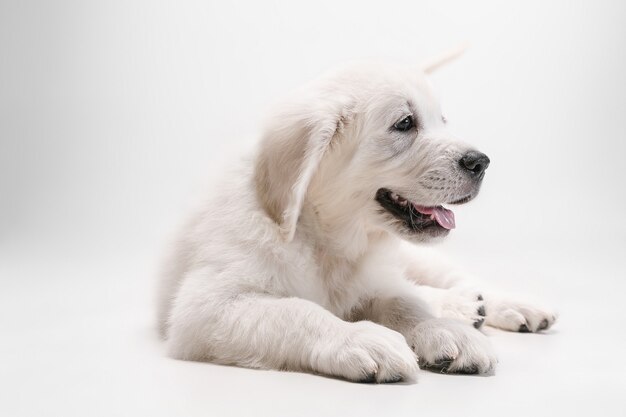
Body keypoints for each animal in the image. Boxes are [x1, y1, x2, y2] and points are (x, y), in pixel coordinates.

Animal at [156, 57, 556, 382]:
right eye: (405, 123)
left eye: (441, 121)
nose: (481, 162)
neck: (327, 238)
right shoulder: (205, 307)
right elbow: (297, 310)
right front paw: (361, 337)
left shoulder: (374, 279)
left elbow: (403, 303)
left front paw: (444, 329)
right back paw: (464, 306)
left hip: (418, 256)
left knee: (456, 279)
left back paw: (508, 306)